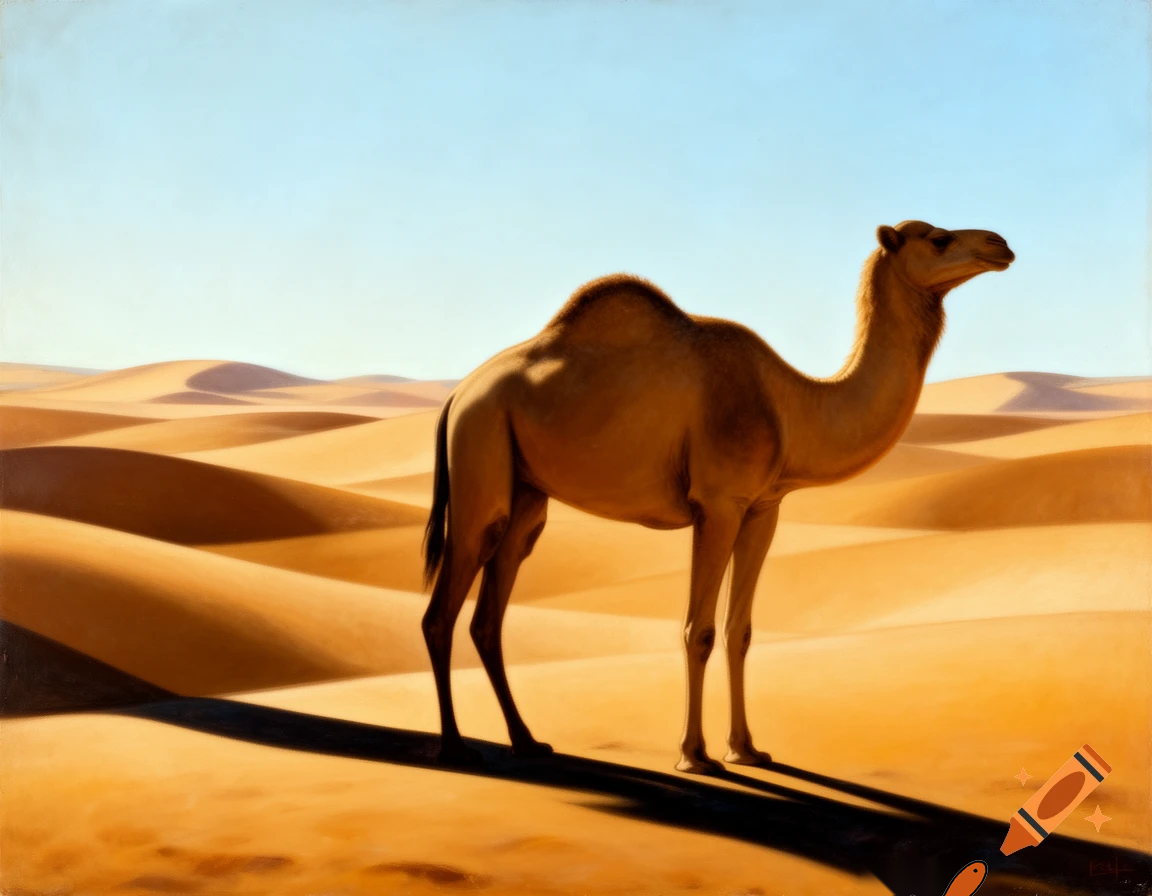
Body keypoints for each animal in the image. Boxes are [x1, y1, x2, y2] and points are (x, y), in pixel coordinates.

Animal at [421, 220, 1014, 773]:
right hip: (480, 451)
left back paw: (527, 740)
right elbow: (699, 630)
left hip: (525, 491)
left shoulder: (762, 509)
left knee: (489, 612)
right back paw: (453, 746)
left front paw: (747, 748)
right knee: (442, 609)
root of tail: (459, 393)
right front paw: (694, 754)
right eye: (938, 239)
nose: (1000, 244)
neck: (790, 405)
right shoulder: (718, 503)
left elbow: (739, 631)